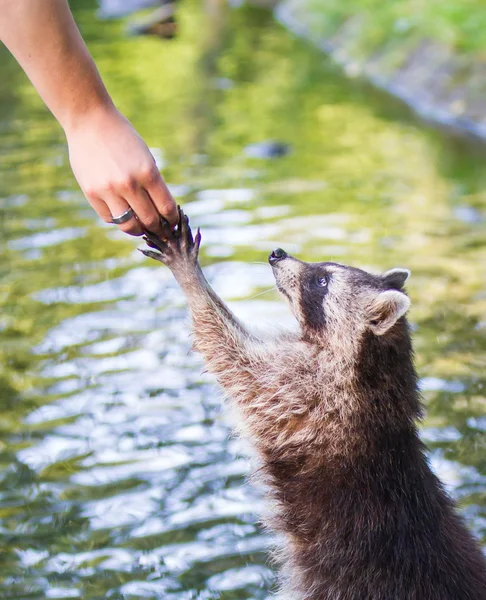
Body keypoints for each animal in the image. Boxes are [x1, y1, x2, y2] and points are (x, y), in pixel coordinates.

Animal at [140, 210, 486, 600]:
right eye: (323, 269)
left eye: (322, 281)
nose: (276, 253)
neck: (378, 368)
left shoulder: (309, 393)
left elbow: (234, 359)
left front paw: (190, 278)